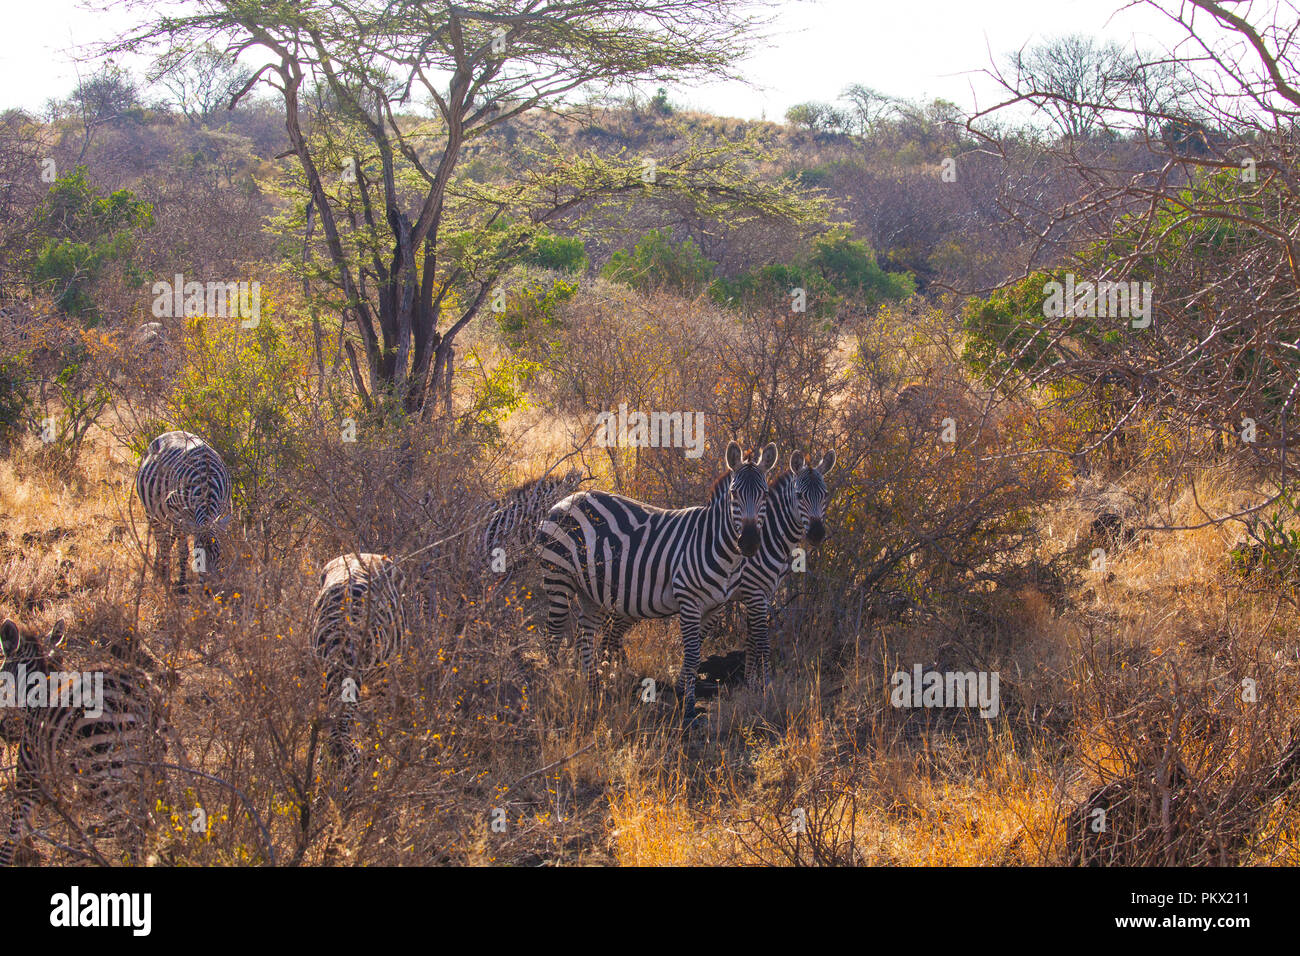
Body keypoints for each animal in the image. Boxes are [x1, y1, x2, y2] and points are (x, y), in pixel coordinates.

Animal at [1, 616, 166, 868]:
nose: (4, 731)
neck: (37, 694)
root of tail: (141, 701)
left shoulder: (30, 781)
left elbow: (12, 838)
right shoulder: (73, 793)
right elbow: (75, 840)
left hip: (107, 773)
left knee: (130, 836)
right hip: (150, 776)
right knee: (149, 831)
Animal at [135, 429, 232, 587]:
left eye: (219, 555)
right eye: (197, 557)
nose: (211, 588)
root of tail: (169, 432)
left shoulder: (219, 512)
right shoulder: (178, 513)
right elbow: (183, 551)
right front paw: (181, 584)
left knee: (166, 541)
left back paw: (160, 570)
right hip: (152, 512)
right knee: (161, 540)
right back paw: (161, 574)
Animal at [304, 554, 405, 770]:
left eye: (354, 772)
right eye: (321, 772)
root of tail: (369, 554)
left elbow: (371, 728)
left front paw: (372, 762)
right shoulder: (322, 677)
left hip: (385, 674)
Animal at [535, 442, 774, 733]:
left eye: (764, 494)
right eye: (734, 494)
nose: (749, 543)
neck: (717, 545)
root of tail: (565, 500)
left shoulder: (715, 606)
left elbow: (696, 654)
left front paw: (683, 695)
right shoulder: (689, 600)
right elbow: (692, 655)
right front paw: (688, 710)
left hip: (590, 591)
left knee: (585, 635)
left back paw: (594, 690)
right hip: (558, 577)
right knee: (553, 635)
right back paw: (553, 685)